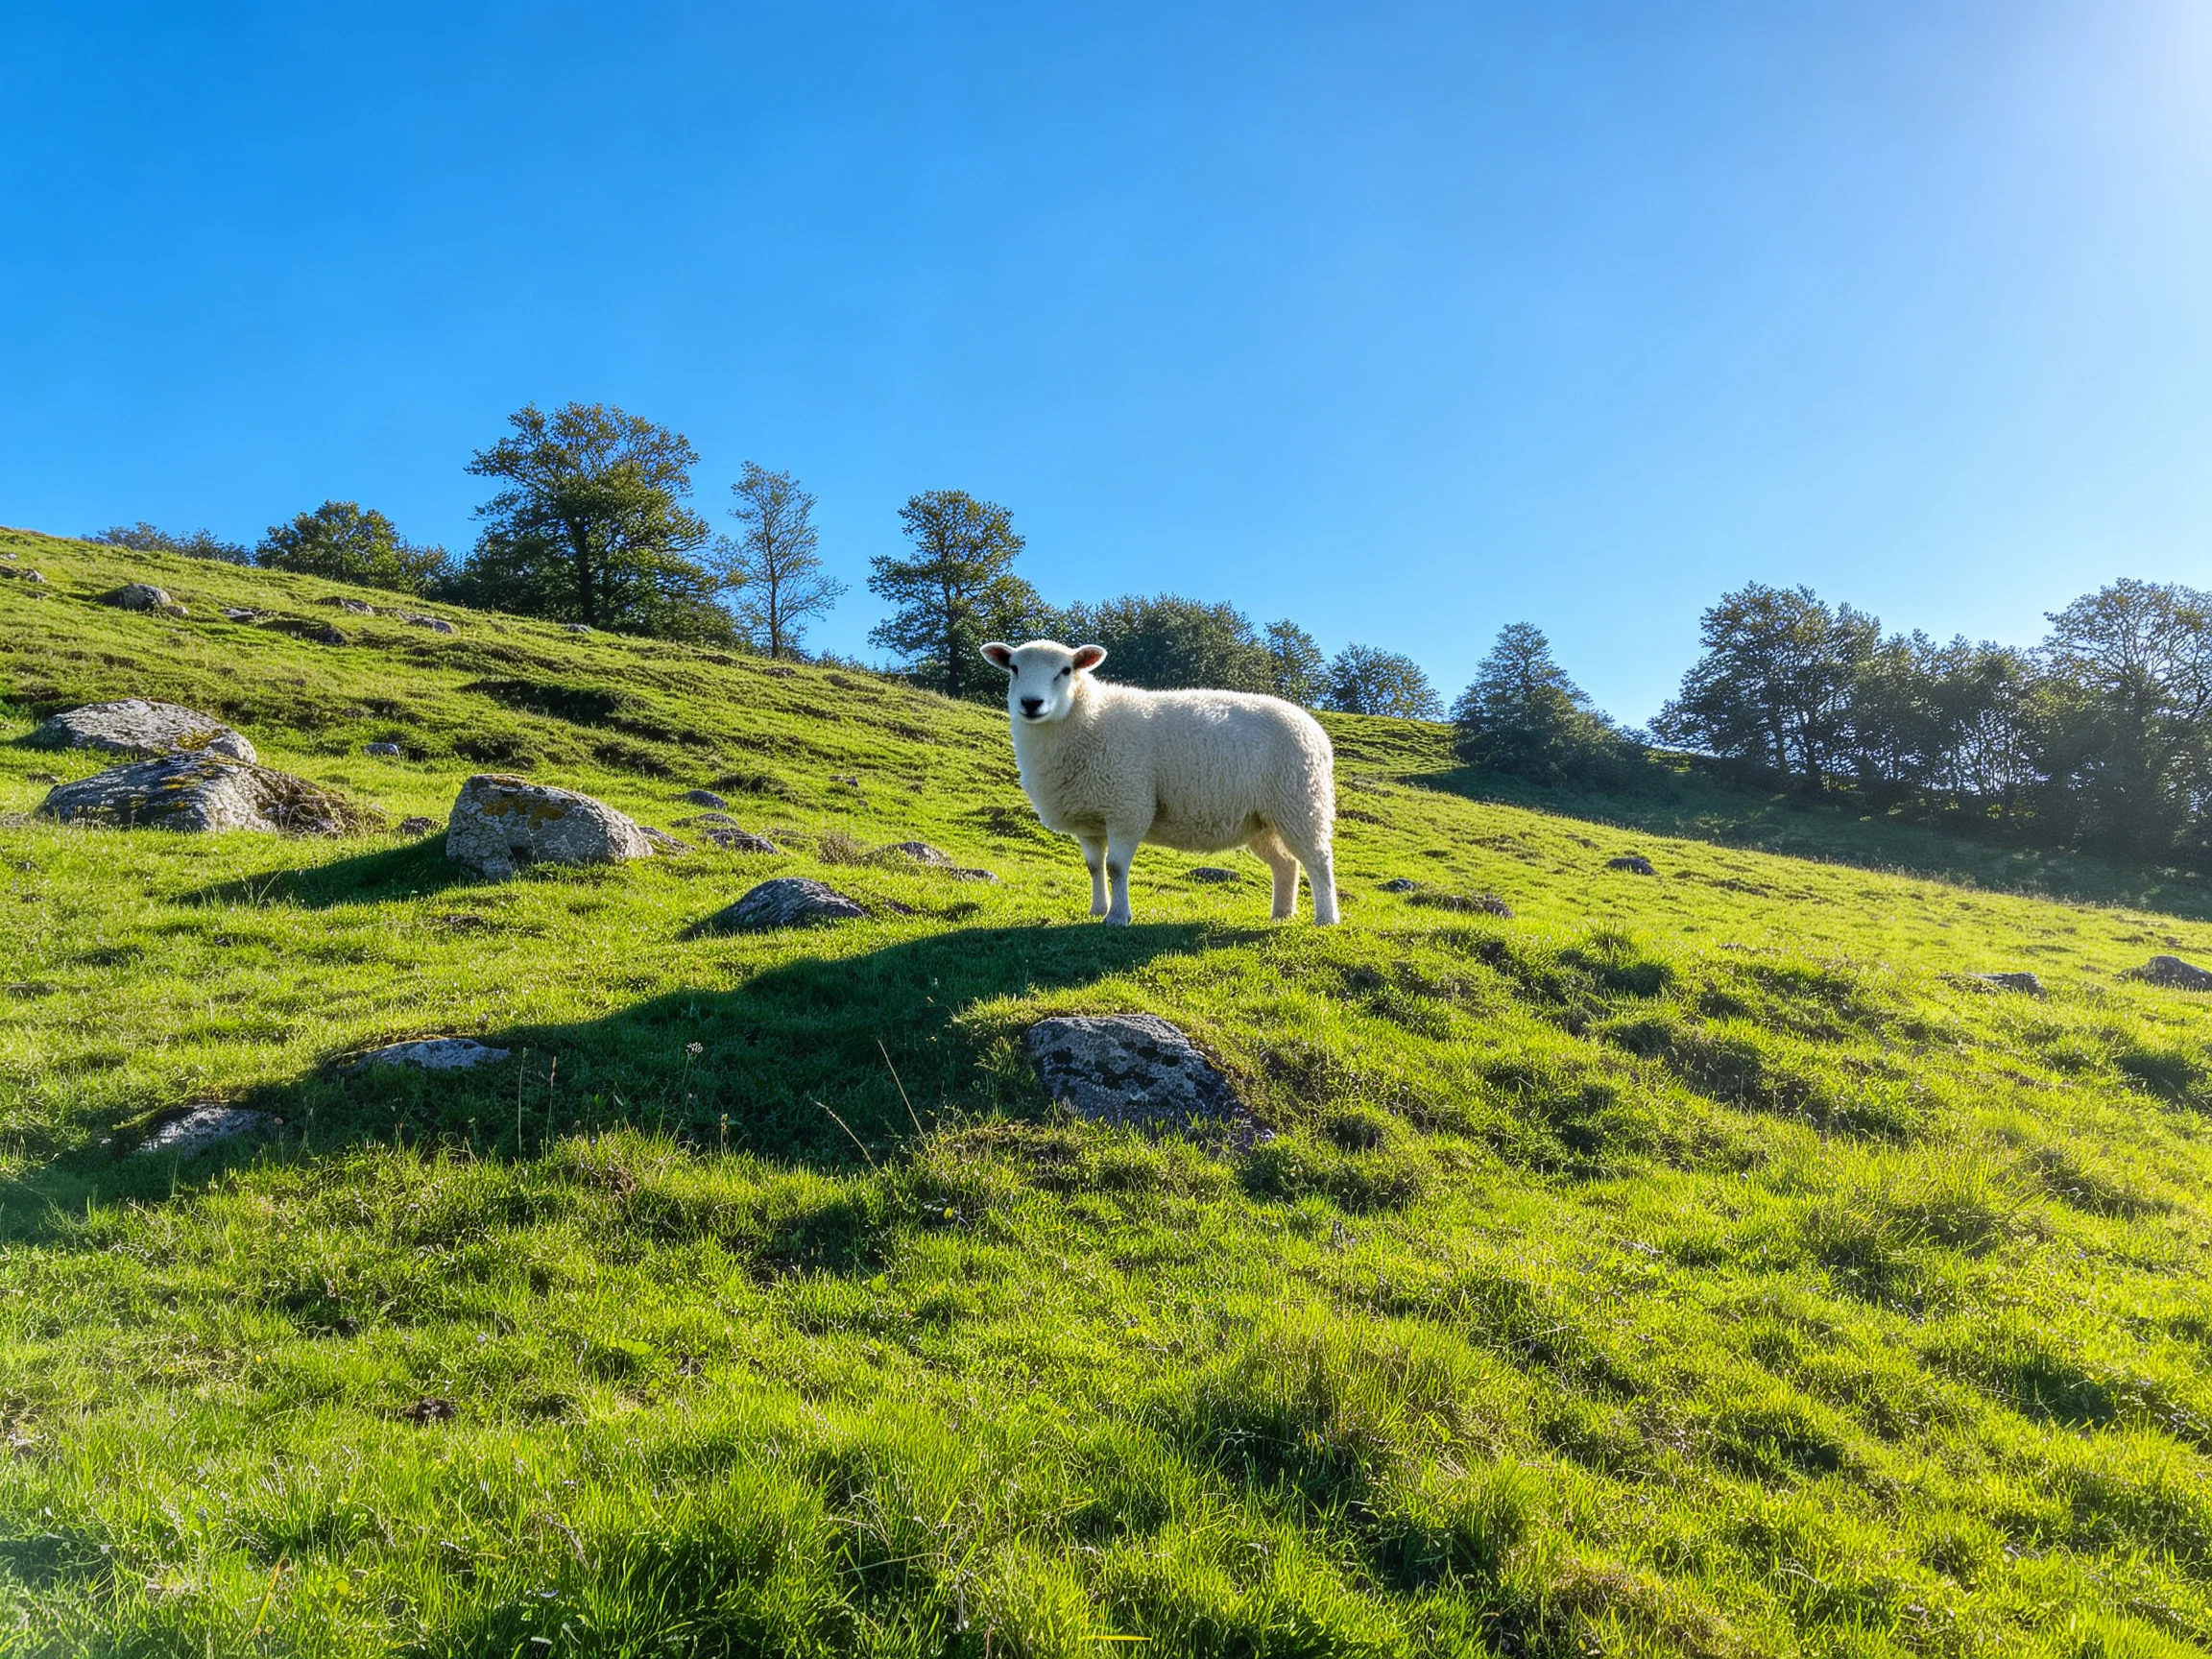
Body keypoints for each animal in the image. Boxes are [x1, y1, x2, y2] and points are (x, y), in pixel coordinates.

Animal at [981, 639, 1339, 925]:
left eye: (1066, 670)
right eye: (1014, 668)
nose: (1031, 703)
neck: (1088, 718)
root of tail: (1312, 726)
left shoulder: (1127, 806)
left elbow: (1116, 867)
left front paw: (1118, 917)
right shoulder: (1089, 819)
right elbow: (1094, 867)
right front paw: (1097, 910)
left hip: (1301, 802)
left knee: (1318, 860)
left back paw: (1326, 918)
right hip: (1263, 819)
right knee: (1286, 864)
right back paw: (1282, 914)